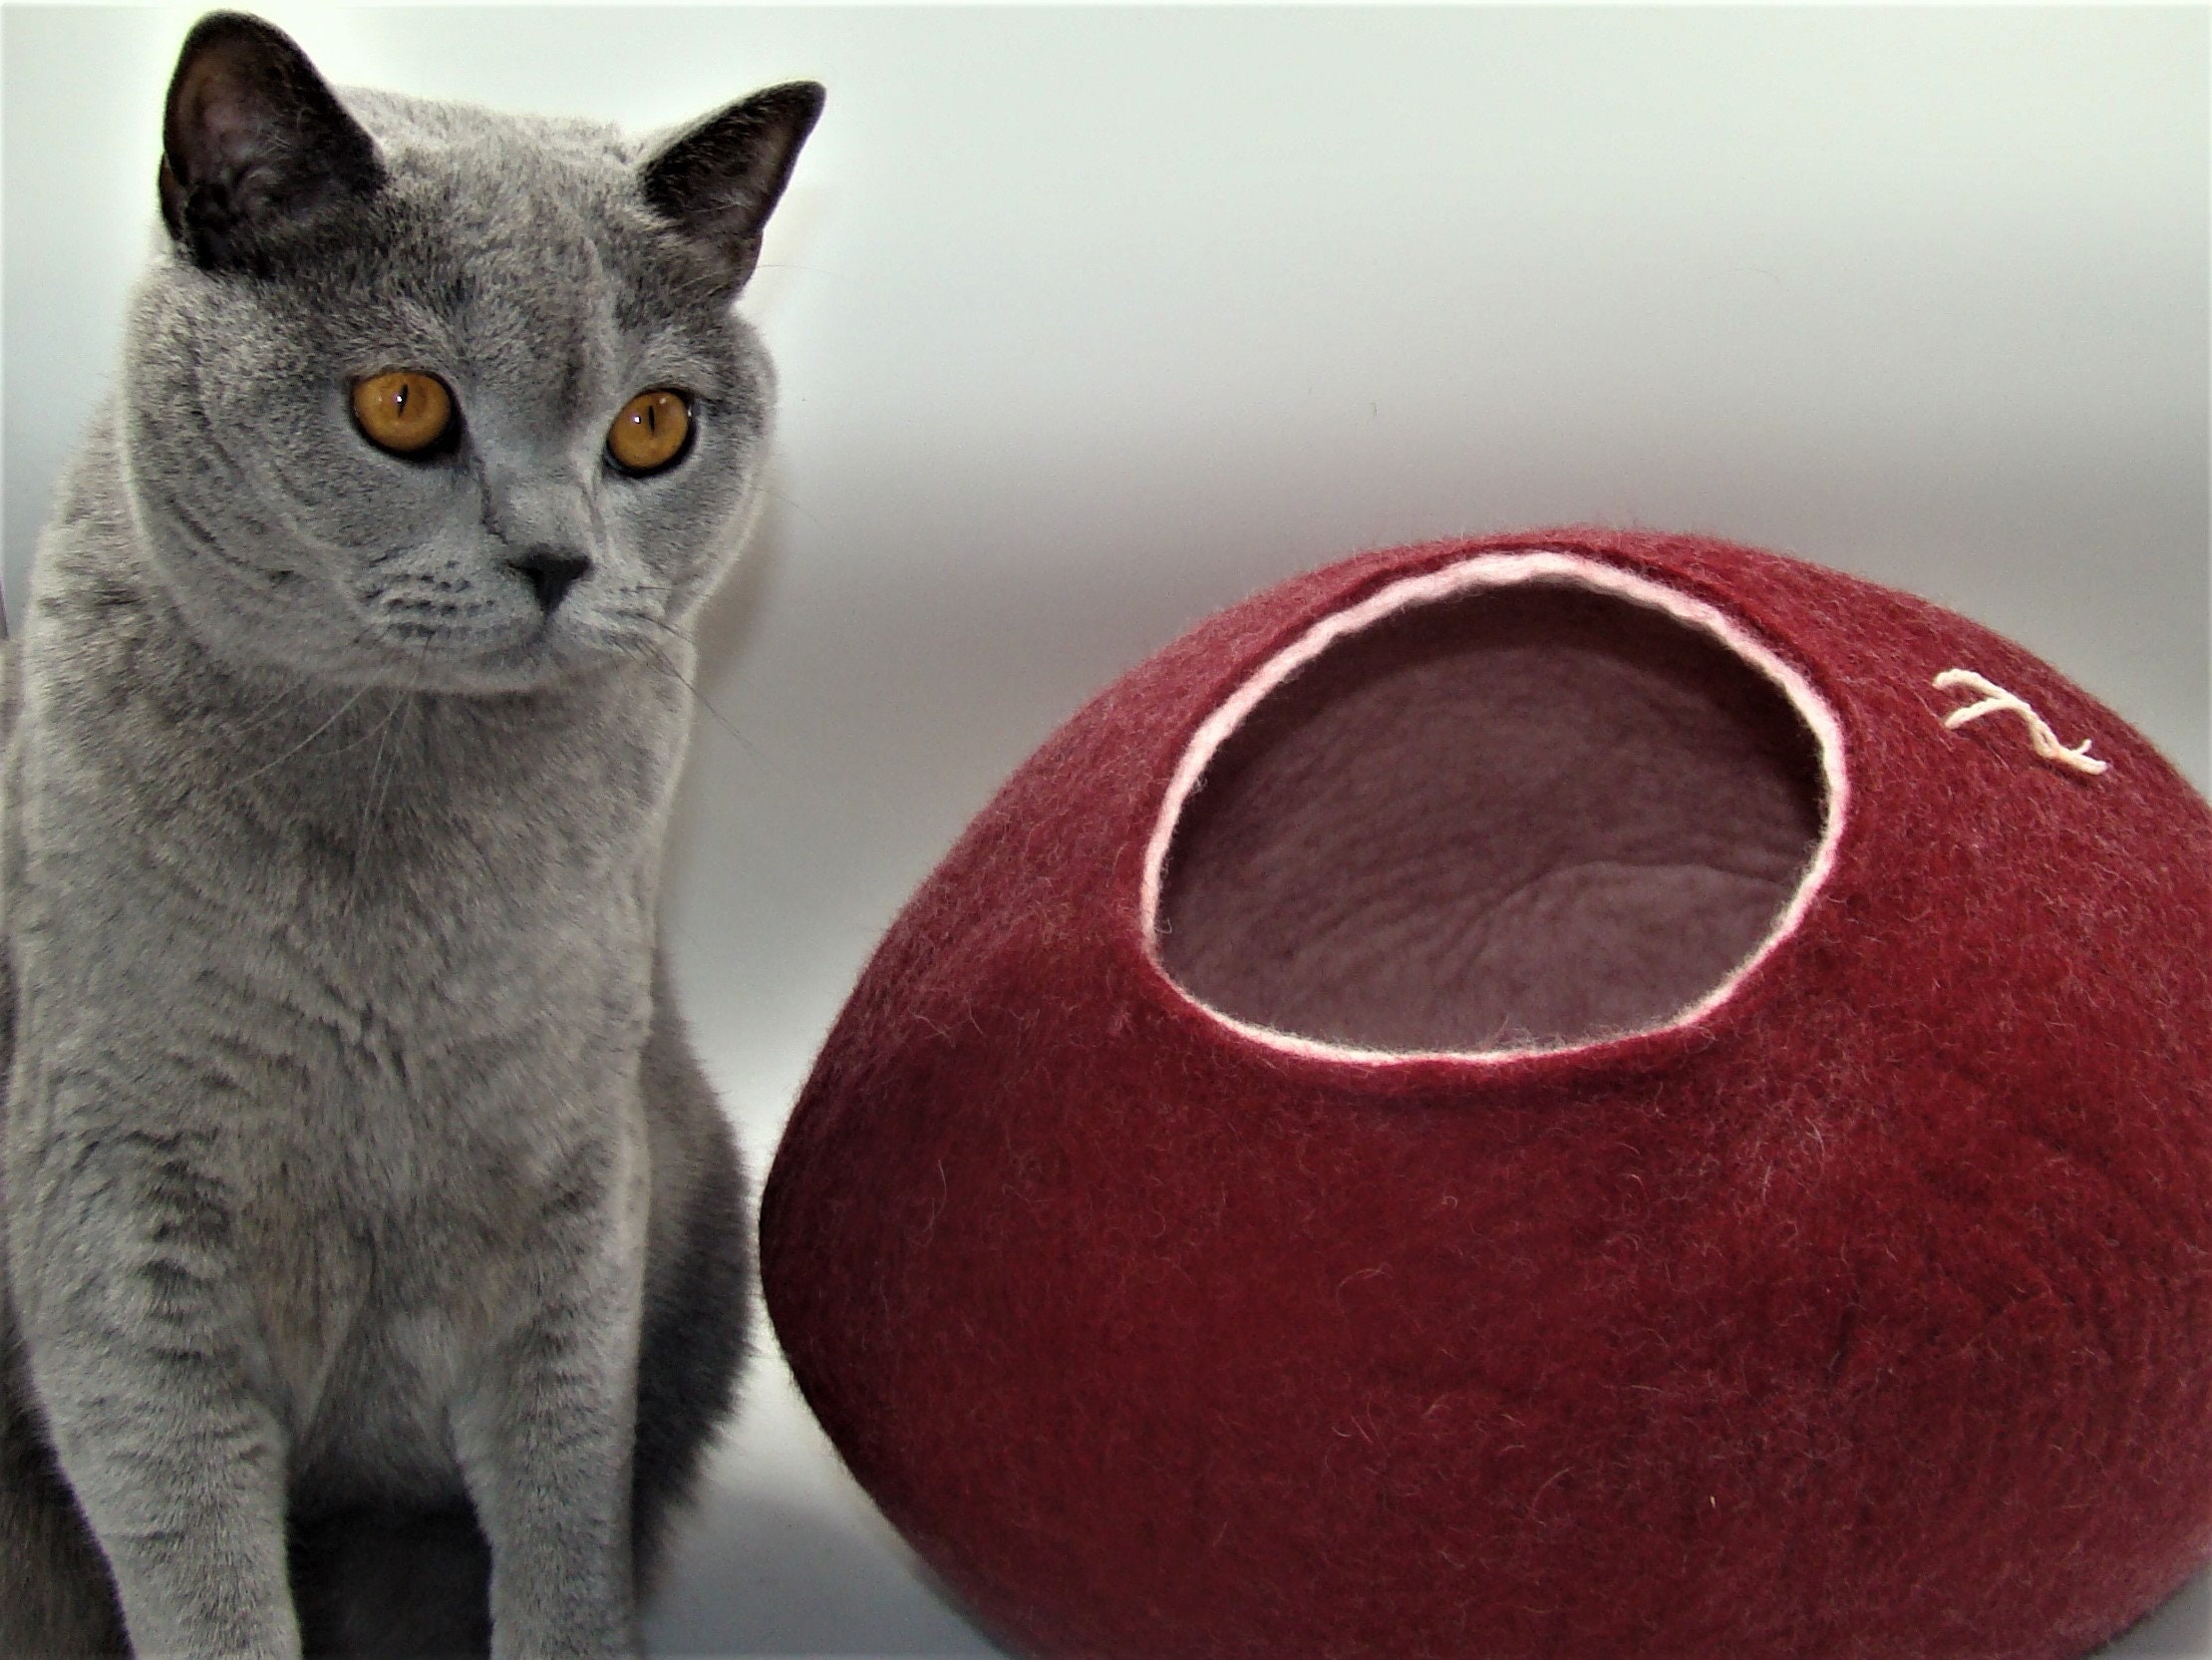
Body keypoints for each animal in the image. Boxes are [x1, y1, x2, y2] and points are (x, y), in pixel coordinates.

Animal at [0, 16, 822, 1660]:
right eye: (401, 406)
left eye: (652, 428)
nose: (558, 556)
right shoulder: (117, 1199)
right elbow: (190, 1551)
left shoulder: (573, 1176)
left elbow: (563, 1505)